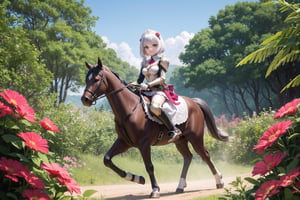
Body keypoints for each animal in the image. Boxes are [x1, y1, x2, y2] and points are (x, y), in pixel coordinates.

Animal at [81, 58, 229, 198]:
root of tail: (194, 102)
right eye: (86, 79)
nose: (85, 99)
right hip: (180, 140)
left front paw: (155, 190)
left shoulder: (144, 144)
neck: (130, 109)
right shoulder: (124, 142)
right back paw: (180, 186)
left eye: (96, 79)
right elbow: (107, 159)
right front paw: (137, 178)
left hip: (195, 138)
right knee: (188, 157)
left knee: (205, 155)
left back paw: (219, 181)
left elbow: (149, 166)